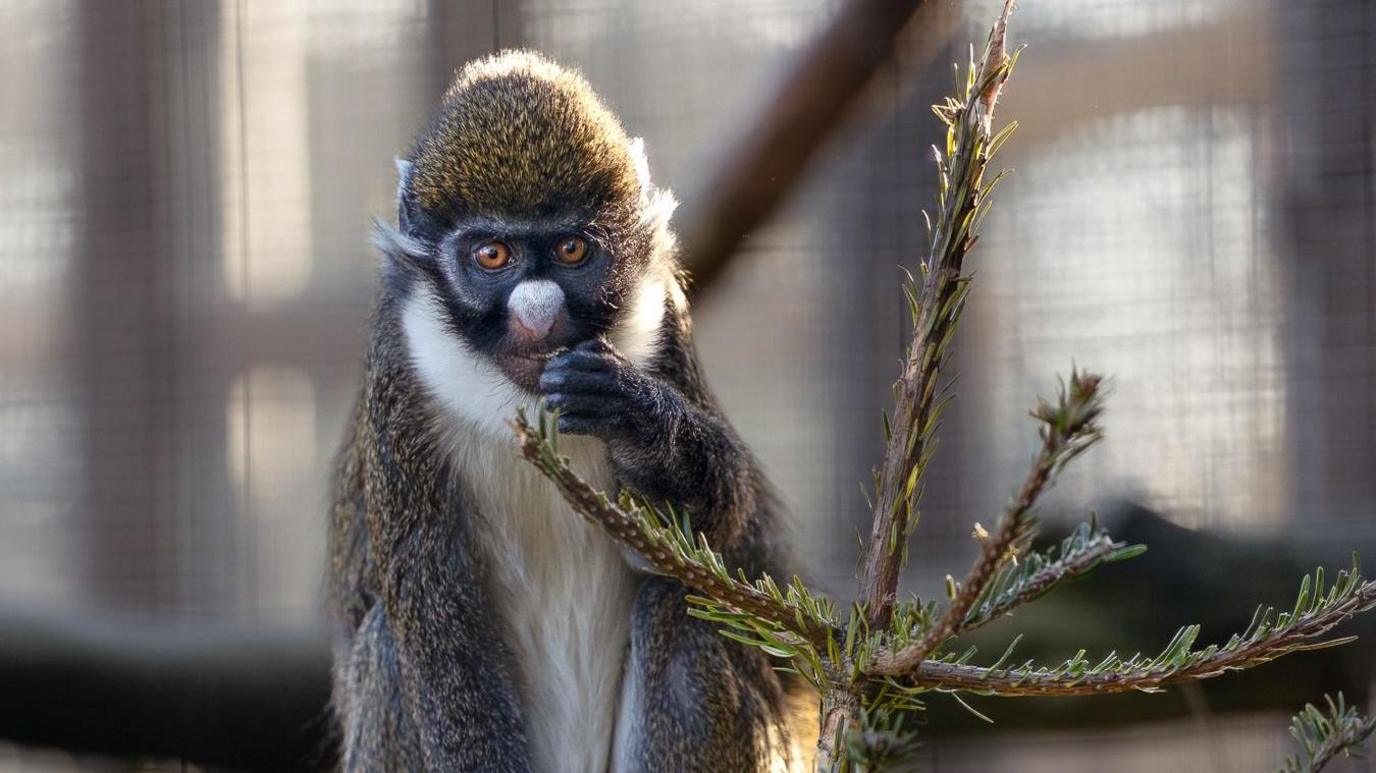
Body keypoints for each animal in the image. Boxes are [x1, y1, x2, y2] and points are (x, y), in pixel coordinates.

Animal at [331, 51, 803, 764]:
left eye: (572, 250)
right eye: (492, 255)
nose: (538, 313)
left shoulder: (666, 323)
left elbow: (708, 541)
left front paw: (640, 422)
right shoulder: (396, 377)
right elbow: (434, 620)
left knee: (682, 611)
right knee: (387, 648)